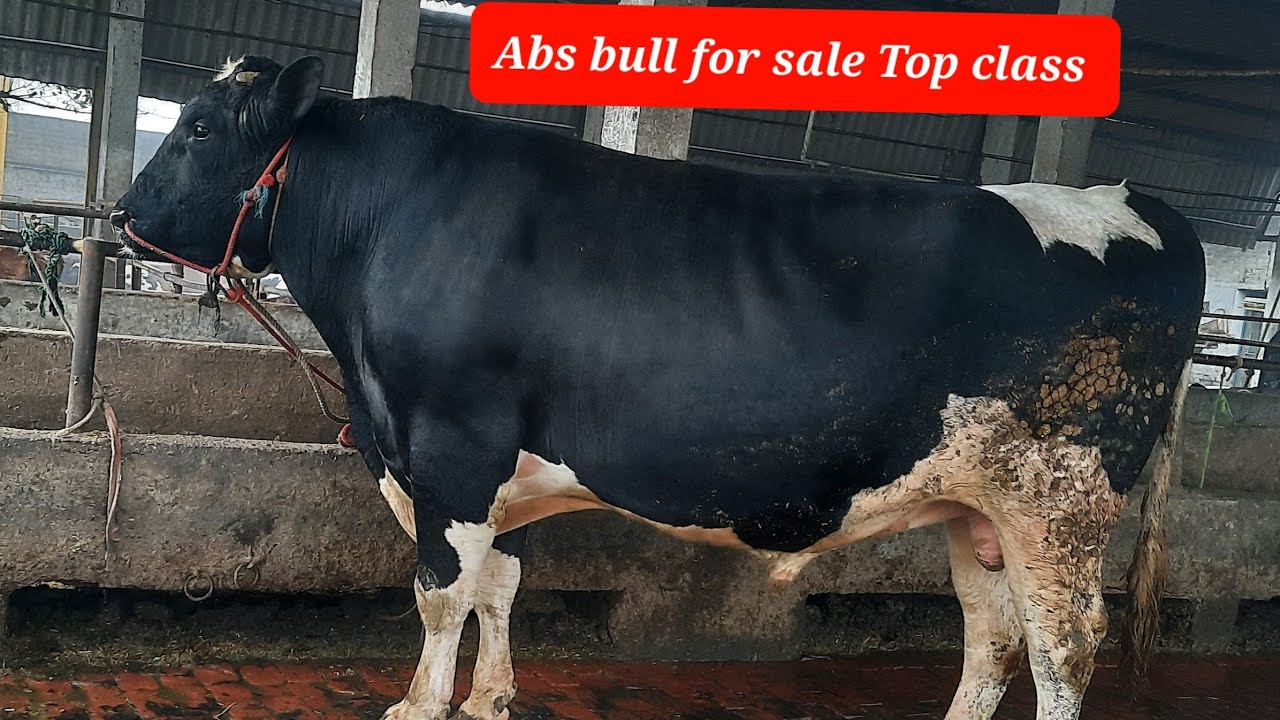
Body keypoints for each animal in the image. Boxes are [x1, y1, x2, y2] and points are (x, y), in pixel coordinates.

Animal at [112, 55, 1205, 720]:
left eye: (199, 128)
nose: (121, 211)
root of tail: (1130, 201)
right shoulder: (488, 466)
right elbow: (498, 585)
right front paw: (488, 697)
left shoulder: (451, 444)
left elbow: (440, 591)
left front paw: (420, 703)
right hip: (974, 504)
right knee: (993, 637)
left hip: (1059, 500)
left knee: (1063, 645)